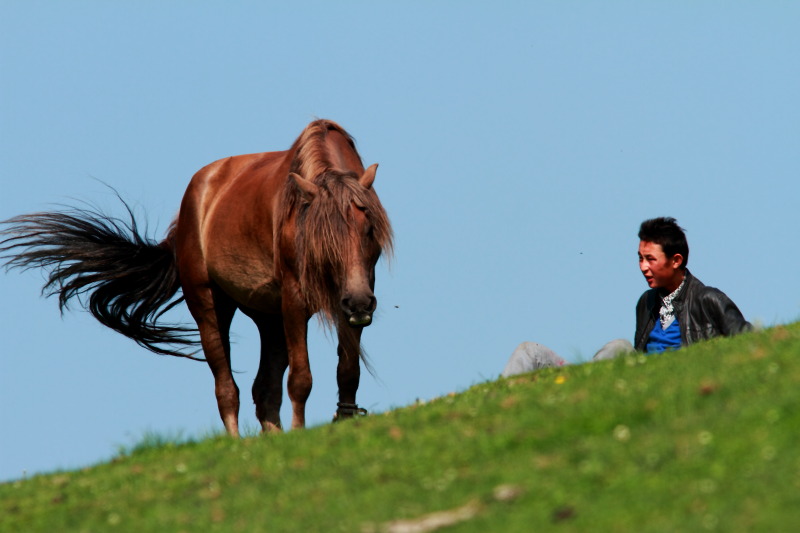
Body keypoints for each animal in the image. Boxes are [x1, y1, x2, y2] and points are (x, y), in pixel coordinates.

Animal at [0, 118, 394, 434]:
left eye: (368, 230)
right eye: (321, 239)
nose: (359, 302)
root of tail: (195, 197)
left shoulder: (353, 294)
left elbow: (348, 369)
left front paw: (344, 418)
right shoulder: (296, 300)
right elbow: (301, 379)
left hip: (269, 317)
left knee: (264, 390)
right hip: (210, 306)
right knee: (227, 388)